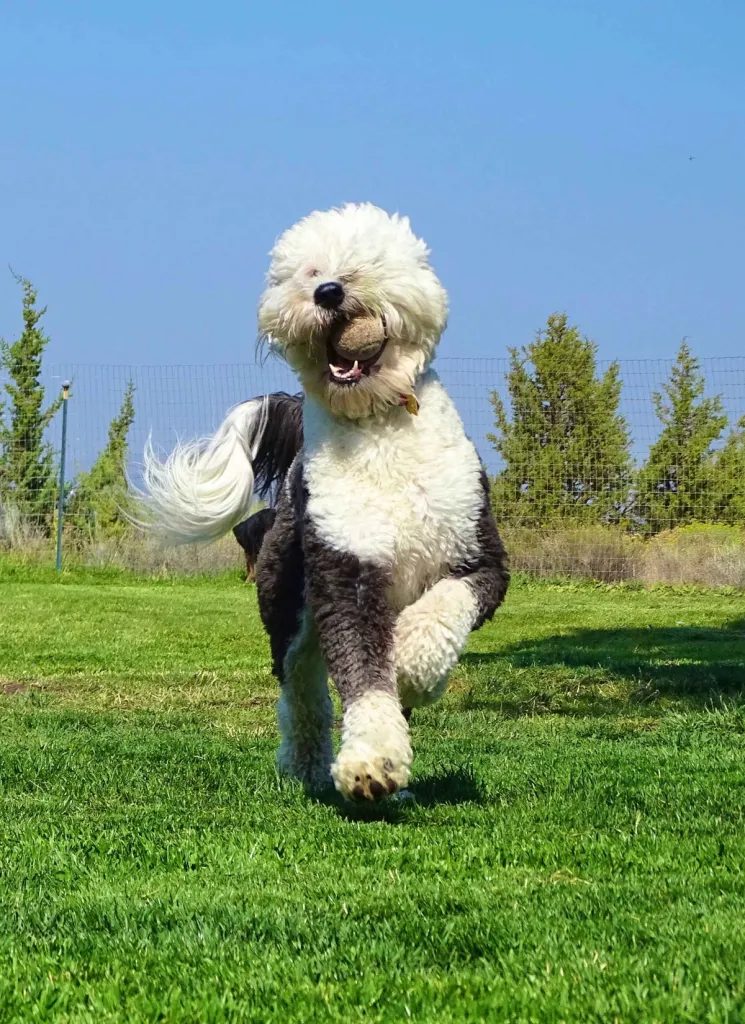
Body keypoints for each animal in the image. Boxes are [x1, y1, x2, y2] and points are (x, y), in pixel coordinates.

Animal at [139, 201, 509, 798]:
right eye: (309, 272)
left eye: (366, 263)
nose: (329, 291)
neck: (378, 425)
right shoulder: (347, 567)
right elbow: (363, 675)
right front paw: (370, 763)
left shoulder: (480, 560)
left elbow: (442, 612)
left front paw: (412, 668)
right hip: (286, 600)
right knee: (302, 690)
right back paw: (306, 765)